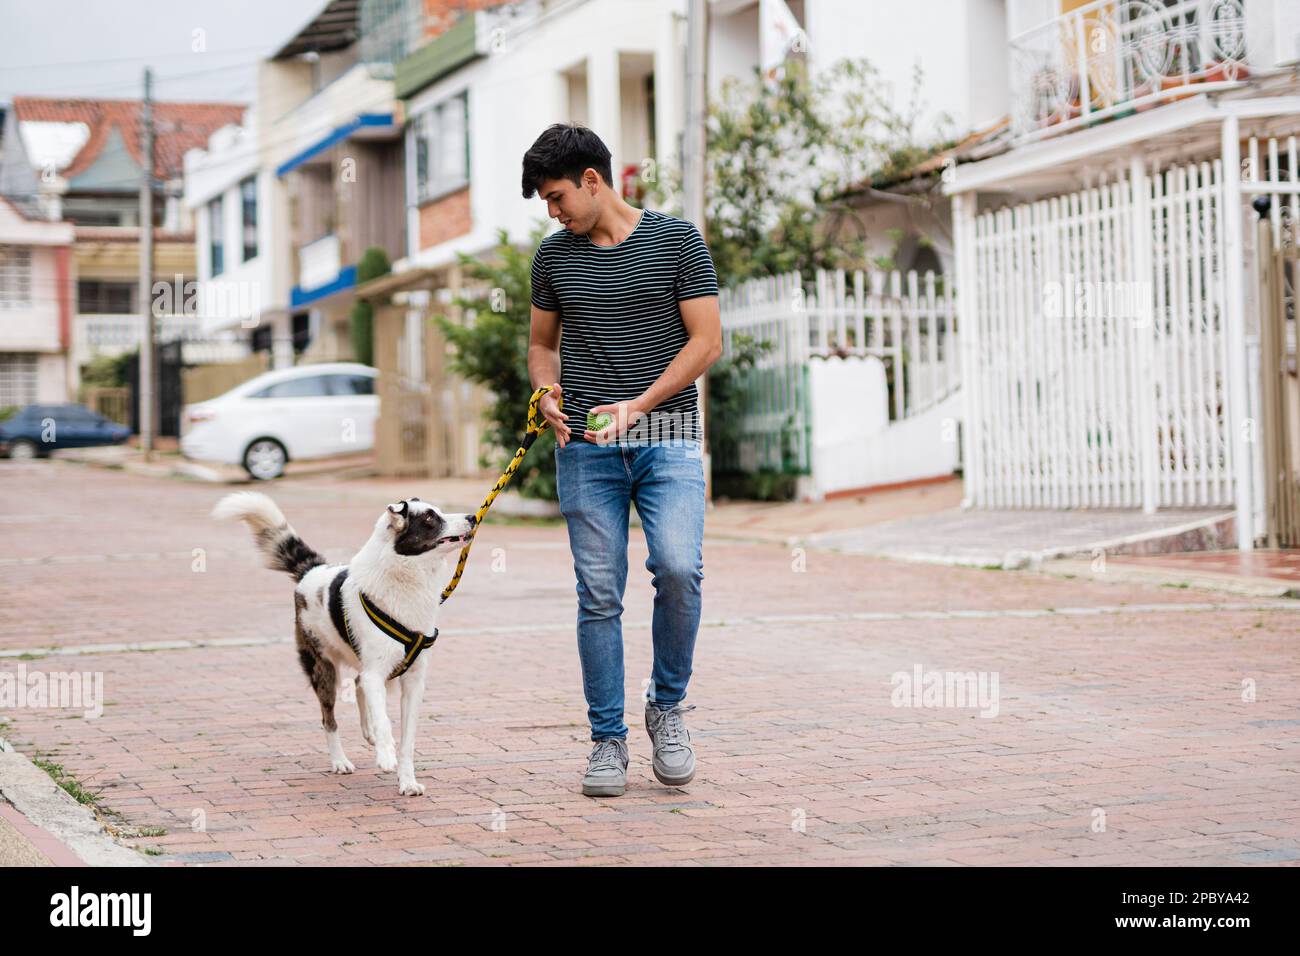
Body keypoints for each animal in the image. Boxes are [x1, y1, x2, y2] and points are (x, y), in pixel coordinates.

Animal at [213, 489, 478, 796]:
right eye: (430, 518)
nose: (473, 517)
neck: (405, 574)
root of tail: (311, 570)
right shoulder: (376, 672)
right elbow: (384, 720)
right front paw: (385, 755)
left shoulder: (413, 680)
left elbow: (407, 740)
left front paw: (407, 781)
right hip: (323, 669)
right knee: (330, 718)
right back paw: (340, 760)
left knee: (359, 684)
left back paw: (368, 734)